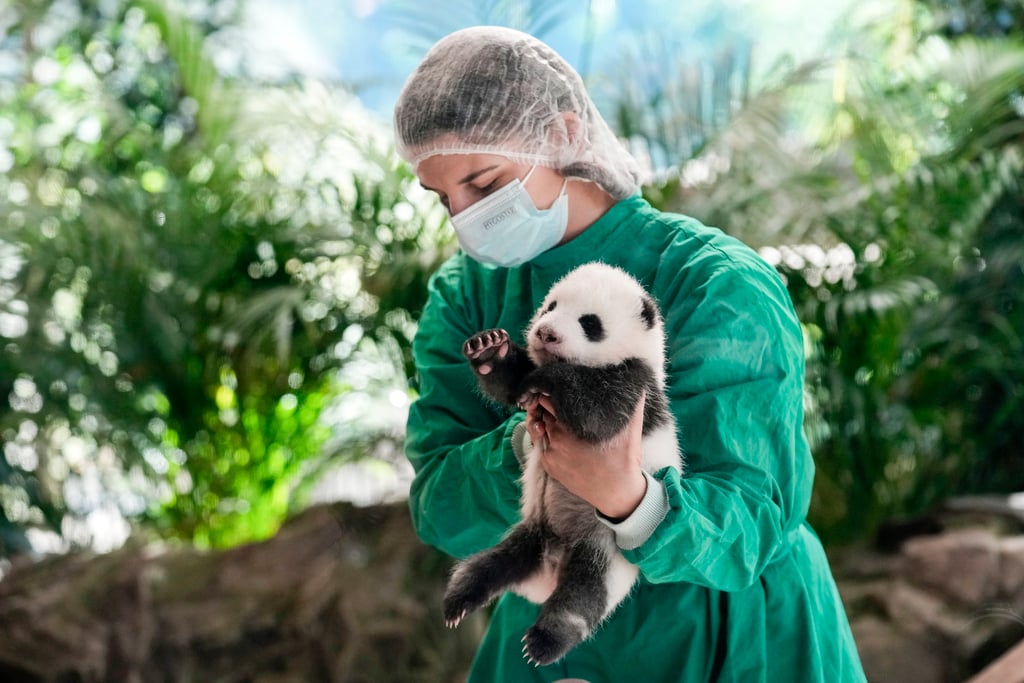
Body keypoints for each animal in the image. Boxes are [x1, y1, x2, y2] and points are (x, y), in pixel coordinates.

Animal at [443, 262, 683, 666]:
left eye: (590, 323)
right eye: (550, 306)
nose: (546, 333)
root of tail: (549, 568)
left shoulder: (637, 387)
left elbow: (598, 413)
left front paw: (549, 379)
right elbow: (513, 384)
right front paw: (490, 350)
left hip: (604, 551)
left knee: (582, 598)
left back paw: (544, 641)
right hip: (529, 533)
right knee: (486, 566)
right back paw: (458, 601)